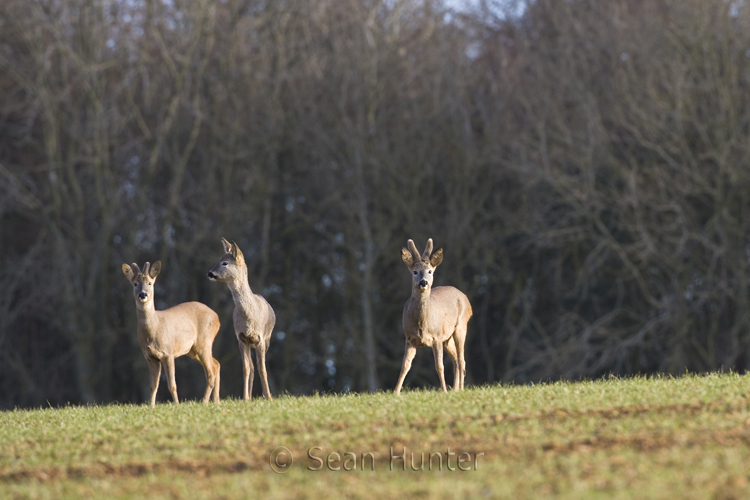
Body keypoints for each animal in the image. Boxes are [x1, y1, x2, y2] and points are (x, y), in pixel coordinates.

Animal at [122, 262, 222, 406]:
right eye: (135, 284)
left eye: (150, 283)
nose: (143, 294)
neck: (154, 330)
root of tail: (217, 317)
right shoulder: (150, 357)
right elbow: (153, 385)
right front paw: (151, 406)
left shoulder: (168, 353)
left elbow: (172, 384)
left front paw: (177, 405)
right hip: (192, 350)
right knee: (216, 364)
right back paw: (216, 401)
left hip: (204, 342)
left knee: (210, 372)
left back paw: (204, 401)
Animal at [207, 239, 278, 402]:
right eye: (218, 260)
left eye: (225, 263)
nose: (210, 273)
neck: (249, 317)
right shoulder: (241, 338)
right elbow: (246, 368)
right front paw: (245, 397)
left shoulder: (260, 339)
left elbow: (262, 369)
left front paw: (268, 397)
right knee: (251, 367)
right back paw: (250, 396)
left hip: (268, 339)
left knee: (258, 365)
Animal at [396, 238, 472, 394]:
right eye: (415, 272)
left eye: (430, 271)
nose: (423, 282)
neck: (422, 324)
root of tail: (465, 298)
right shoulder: (409, 338)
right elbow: (405, 366)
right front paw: (396, 392)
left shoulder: (437, 336)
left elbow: (439, 366)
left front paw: (444, 391)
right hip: (447, 338)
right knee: (456, 359)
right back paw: (455, 389)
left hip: (461, 326)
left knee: (461, 359)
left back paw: (460, 389)